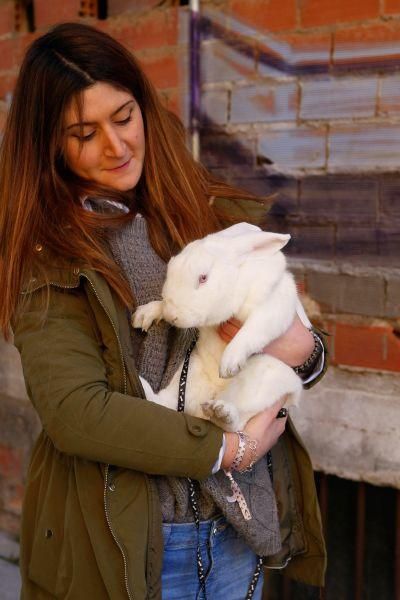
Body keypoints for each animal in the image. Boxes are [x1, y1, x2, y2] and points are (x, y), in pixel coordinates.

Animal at [133, 221, 302, 432]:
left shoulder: (274, 305)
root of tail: (206, 401)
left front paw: (229, 363)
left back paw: (222, 413)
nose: (173, 316)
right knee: (164, 403)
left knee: (236, 424)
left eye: (203, 278)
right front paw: (145, 314)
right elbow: (160, 305)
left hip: (262, 383)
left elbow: (254, 329)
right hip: (188, 375)